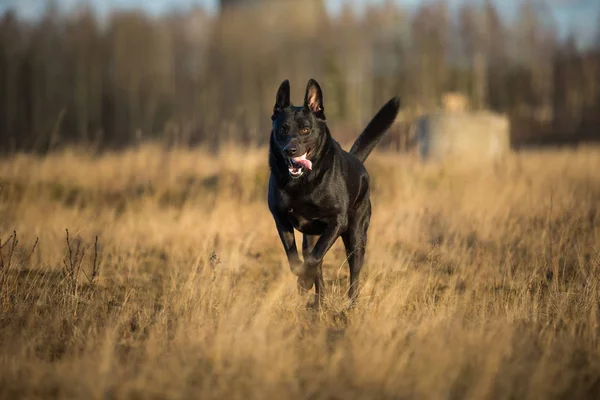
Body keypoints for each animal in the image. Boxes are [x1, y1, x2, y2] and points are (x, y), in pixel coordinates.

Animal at [266, 79, 398, 306]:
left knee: (353, 274)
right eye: (282, 129)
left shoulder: (336, 222)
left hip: (356, 237)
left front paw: (304, 281)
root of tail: (357, 161)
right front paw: (304, 282)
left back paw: (351, 305)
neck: (302, 183)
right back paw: (318, 303)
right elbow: (296, 261)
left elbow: (313, 259)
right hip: (310, 238)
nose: (290, 150)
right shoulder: (281, 221)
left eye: (305, 130)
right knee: (314, 263)